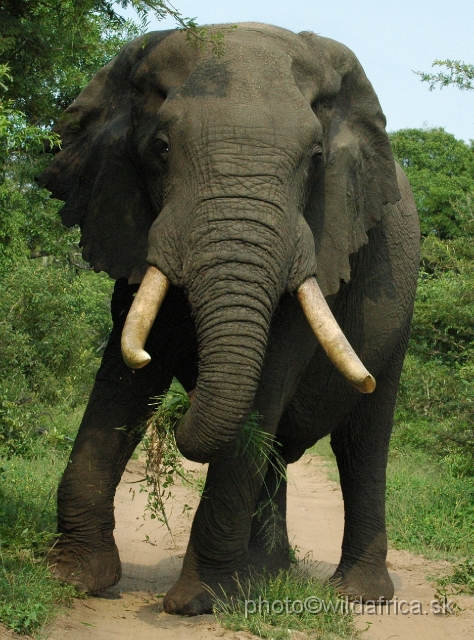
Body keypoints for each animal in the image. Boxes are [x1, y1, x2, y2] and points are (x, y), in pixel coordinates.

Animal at [39, 23, 420, 616]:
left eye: (316, 158)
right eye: (161, 149)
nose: (178, 419)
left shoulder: (322, 235)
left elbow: (263, 387)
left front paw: (198, 601)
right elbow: (125, 379)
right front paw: (75, 579)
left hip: (399, 317)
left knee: (360, 440)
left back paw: (356, 596)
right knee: (280, 448)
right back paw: (267, 576)